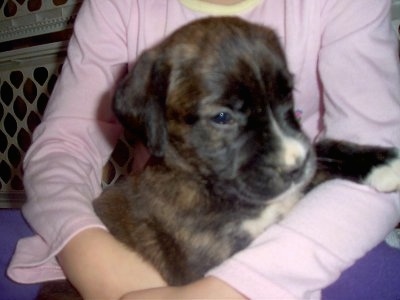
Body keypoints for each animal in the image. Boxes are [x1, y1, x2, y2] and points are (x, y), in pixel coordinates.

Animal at [37, 17, 400, 300]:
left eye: (288, 96)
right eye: (222, 117)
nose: (296, 167)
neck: (203, 184)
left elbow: (323, 152)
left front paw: (382, 163)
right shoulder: (217, 259)